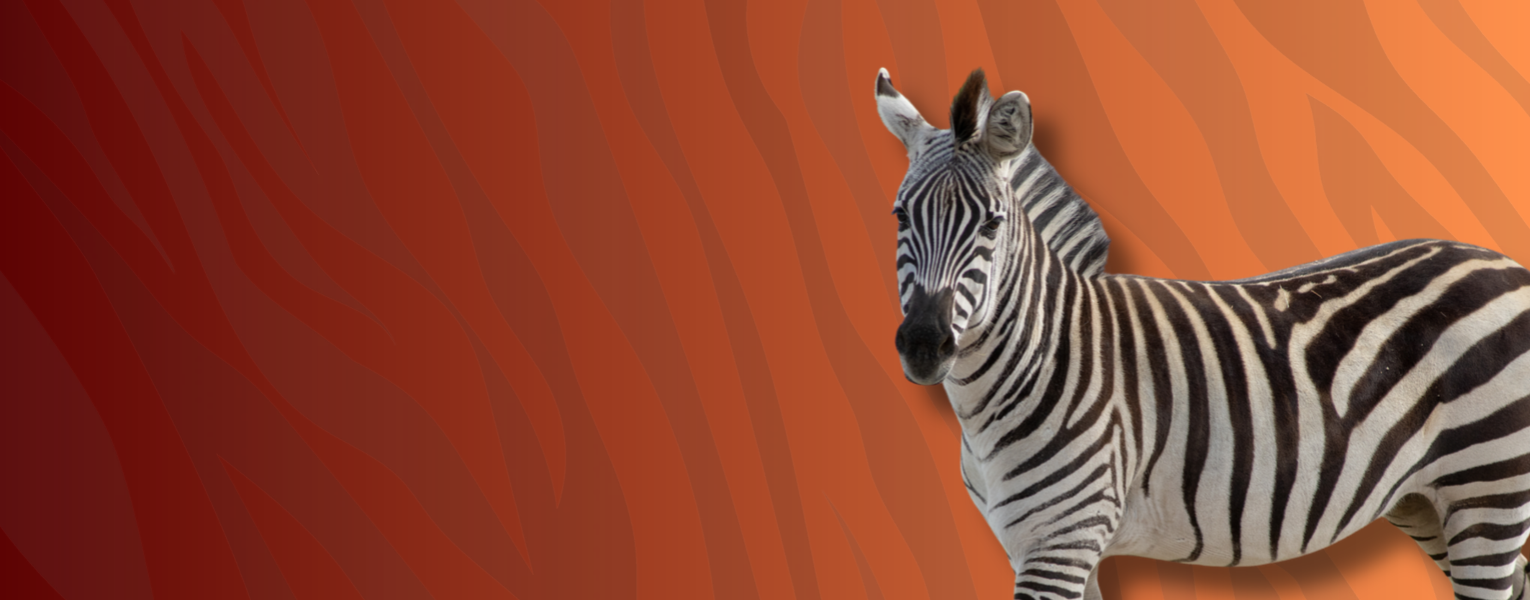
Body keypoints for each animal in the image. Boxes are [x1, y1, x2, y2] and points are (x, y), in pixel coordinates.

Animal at [877, 67, 1530, 600]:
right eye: (900, 215)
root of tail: (1504, 262)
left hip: (1489, 485)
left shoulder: (1061, 542)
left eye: (992, 224)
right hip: (1427, 499)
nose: (924, 345)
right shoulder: (1049, 549)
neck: (1036, 361)